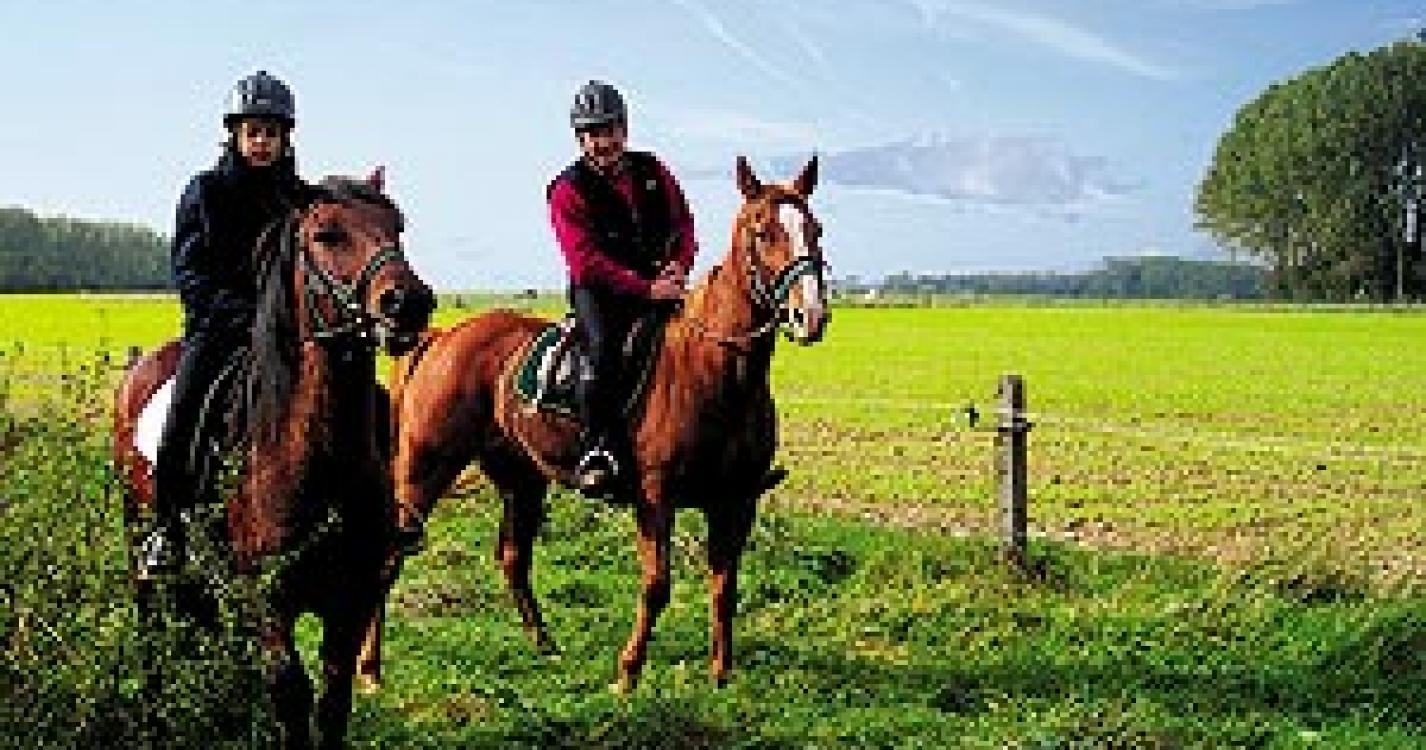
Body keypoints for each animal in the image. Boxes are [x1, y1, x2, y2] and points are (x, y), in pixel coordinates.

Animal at [112, 170, 434, 749]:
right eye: (327, 234)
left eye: (396, 225)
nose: (409, 302)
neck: (316, 460)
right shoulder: (270, 601)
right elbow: (290, 694)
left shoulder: (350, 600)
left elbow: (332, 702)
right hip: (141, 545)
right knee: (151, 631)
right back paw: (155, 719)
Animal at [360, 156, 827, 693]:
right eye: (761, 230)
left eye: (815, 228)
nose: (809, 314)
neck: (716, 371)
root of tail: (442, 337)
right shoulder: (656, 498)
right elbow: (657, 585)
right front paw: (628, 673)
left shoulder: (737, 500)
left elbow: (725, 586)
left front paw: (721, 674)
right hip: (425, 467)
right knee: (391, 556)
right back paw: (369, 669)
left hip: (522, 478)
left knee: (513, 558)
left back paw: (544, 645)